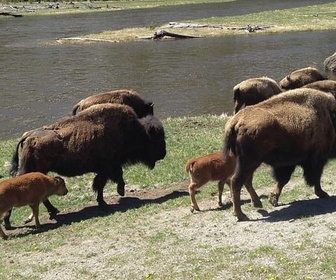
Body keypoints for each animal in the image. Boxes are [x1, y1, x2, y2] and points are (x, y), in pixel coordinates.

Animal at [224, 87, 336, 221]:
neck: (330, 115)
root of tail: (235, 122)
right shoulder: (316, 159)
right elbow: (315, 177)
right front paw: (322, 193)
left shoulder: (288, 164)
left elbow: (283, 180)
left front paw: (273, 199)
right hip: (249, 162)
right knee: (236, 181)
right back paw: (240, 214)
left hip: (248, 162)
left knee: (246, 180)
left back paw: (256, 203)